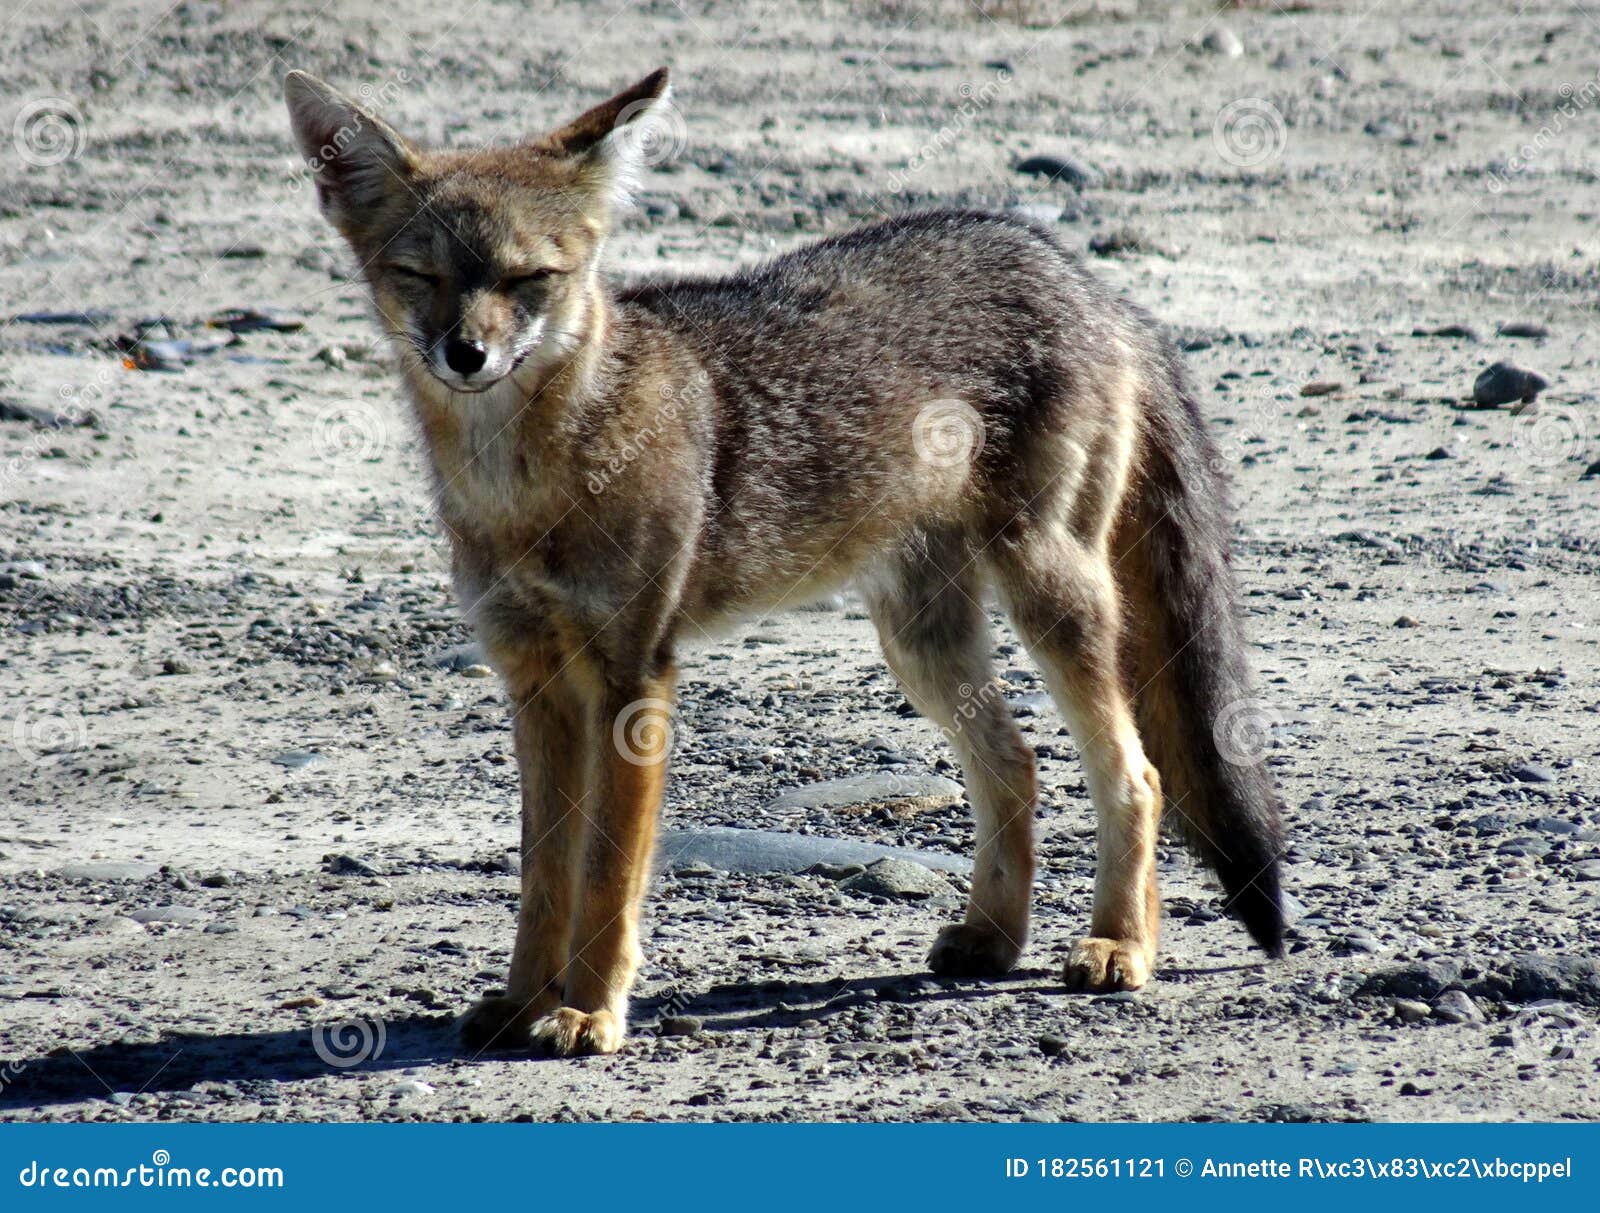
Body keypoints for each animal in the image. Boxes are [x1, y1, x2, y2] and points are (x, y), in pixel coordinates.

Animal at [288, 66, 1286, 1062]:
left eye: (529, 278)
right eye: (420, 277)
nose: (468, 354)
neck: (527, 487)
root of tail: (1082, 274)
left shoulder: (634, 678)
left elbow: (607, 868)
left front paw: (587, 1011)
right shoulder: (532, 678)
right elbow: (544, 871)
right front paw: (522, 998)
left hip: (1049, 596)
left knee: (1137, 776)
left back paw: (1121, 943)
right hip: (922, 643)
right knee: (1017, 762)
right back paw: (994, 937)